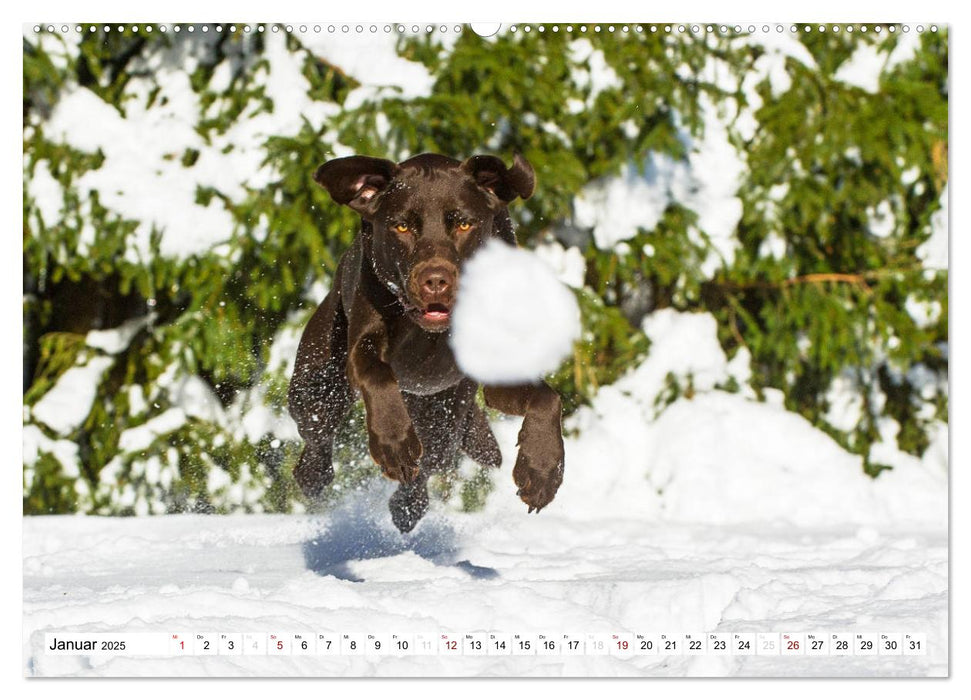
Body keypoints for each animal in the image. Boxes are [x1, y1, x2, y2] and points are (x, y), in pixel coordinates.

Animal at [284, 153, 564, 532]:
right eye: (402, 227)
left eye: (464, 224)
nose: (435, 281)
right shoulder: (363, 341)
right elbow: (376, 373)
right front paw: (393, 442)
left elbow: (548, 399)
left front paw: (542, 471)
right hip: (316, 389)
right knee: (317, 436)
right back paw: (315, 476)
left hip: (444, 417)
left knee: (428, 462)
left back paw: (407, 507)